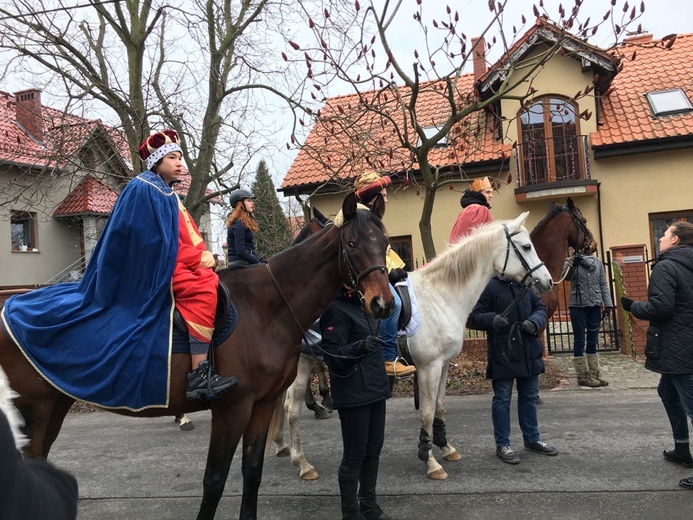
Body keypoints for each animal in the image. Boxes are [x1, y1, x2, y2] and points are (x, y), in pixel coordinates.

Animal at [0, 194, 390, 520]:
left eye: (384, 243)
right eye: (352, 244)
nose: (381, 303)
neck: (267, 307)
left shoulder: (262, 405)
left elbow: (252, 471)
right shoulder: (232, 409)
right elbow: (214, 480)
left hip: (54, 405)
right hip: (34, 409)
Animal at [274, 211, 548, 480]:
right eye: (526, 246)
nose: (546, 280)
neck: (441, 295)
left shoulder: (443, 366)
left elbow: (439, 407)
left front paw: (445, 447)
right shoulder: (428, 367)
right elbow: (426, 412)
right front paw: (430, 461)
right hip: (302, 363)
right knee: (292, 408)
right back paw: (302, 463)